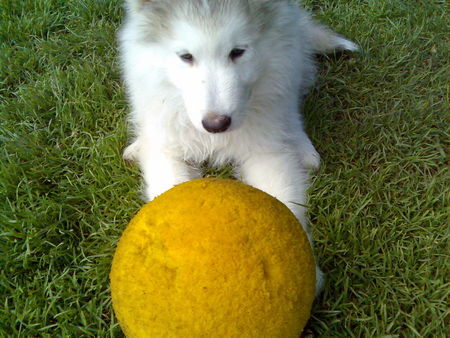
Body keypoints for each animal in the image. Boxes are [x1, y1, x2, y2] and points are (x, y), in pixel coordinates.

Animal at [118, 0, 356, 292]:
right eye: (186, 56)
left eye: (237, 52)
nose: (216, 124)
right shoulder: (166, 149)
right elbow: (169, 189)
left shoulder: (267, 150)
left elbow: (283, 197)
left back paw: (301, 145)